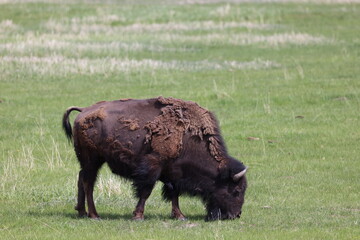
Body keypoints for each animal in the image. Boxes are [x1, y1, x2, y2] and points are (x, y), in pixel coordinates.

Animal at [62, 96, 248, 220]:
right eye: (236, 190)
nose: (236, 215)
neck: (188, 139)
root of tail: (84, 111)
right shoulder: (153, 167)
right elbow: (146, 191)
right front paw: (138, 216)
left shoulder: (173, 172)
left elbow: (174, 193)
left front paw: (180, 216)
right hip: (92, 161)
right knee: (88, 183)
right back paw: (94, 214)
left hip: (89, 162)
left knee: (82, 179)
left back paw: (81, 212)